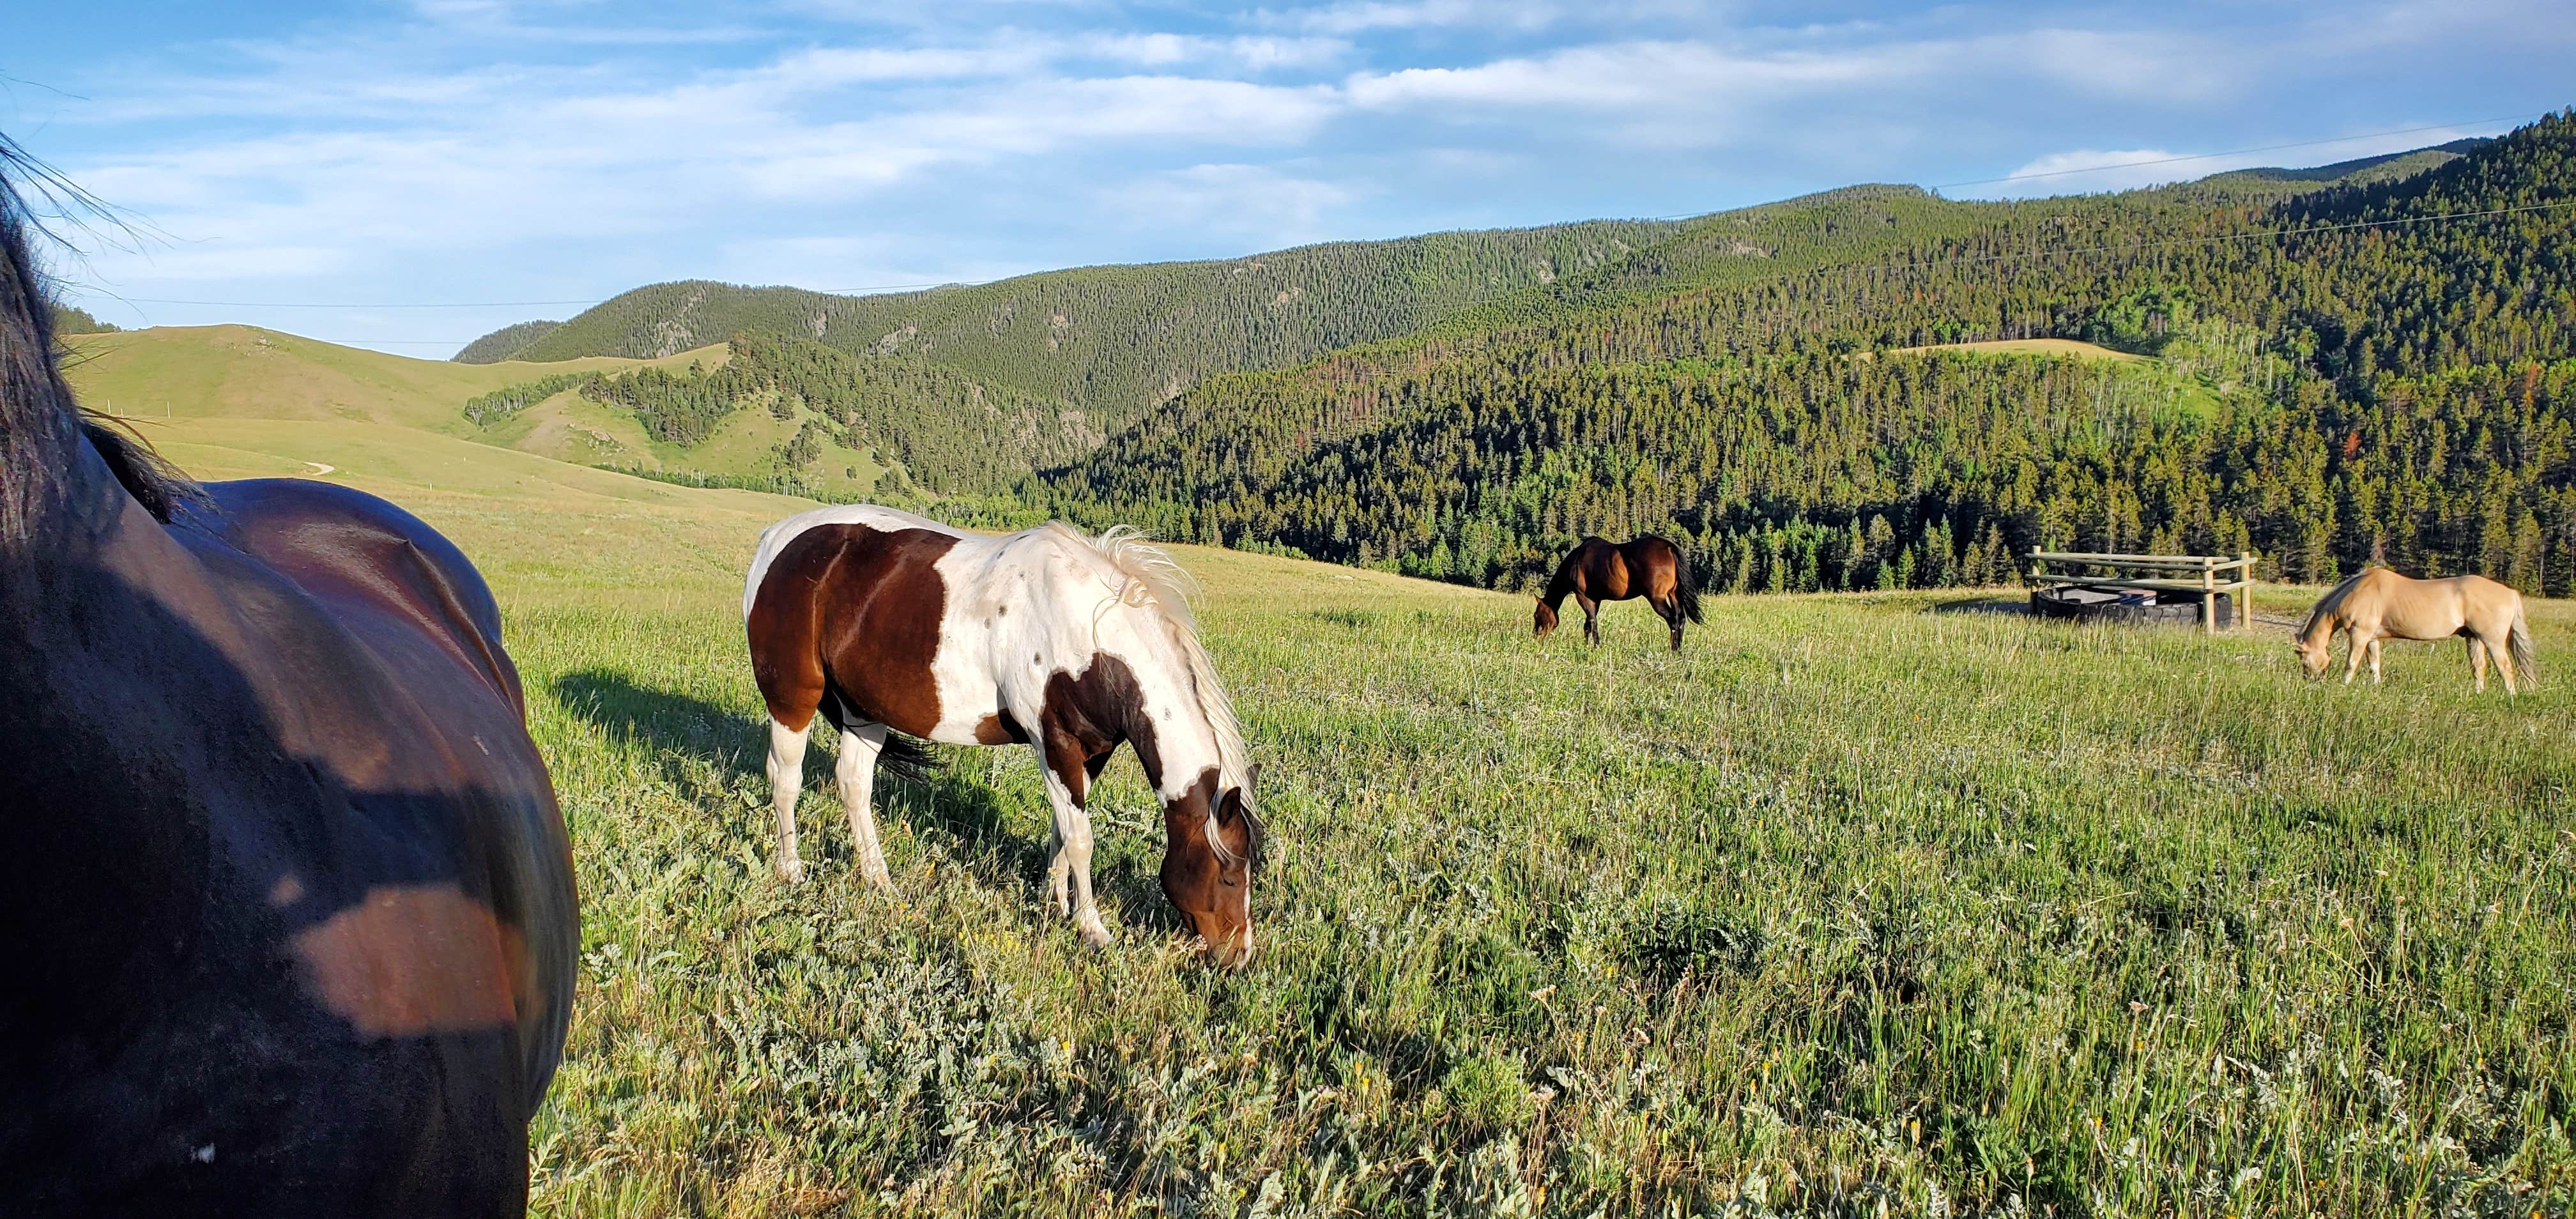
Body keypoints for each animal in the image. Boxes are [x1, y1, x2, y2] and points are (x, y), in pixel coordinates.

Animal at [742, 502, 1262, 958]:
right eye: (1230, 877)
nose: (1239, 956)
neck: (1089, 638)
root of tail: (775, 539)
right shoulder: (1055, 745)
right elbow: (1081, 839)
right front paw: (1092, 929)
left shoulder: (1090, 753)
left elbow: (1062, 831)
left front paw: (1055, 902)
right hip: (793, 700)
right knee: (786, 781)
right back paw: (792, 872)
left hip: (864, 711)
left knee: (853, 784)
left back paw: (878, 879)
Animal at [1535, 530, 1700, 647]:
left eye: (1536, 615)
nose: (1536, 636)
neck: (1576, 560)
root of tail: (1670, 548)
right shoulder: (1595, 599)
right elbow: (1588, 624)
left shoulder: (1583, 597)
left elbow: (1592, 623)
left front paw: (1596, 646)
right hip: (1674, 595)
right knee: (1681, 619)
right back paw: (1679, 650)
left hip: (1657, 599)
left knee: (1673, 621)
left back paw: (1674, 649)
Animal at [2297, 564, 2534, 691]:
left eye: (2305, 662)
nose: (2310, 683)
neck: (2358, 591)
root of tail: (2511, 593)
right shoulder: (2372, 638)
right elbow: (2374, 665)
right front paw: (2376, 687)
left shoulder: (2359, 634)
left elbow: (2351, 664)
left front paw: (2344, 686)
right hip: (2474, 638)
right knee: (2479, 668)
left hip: (2493, 641)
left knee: (2505, 668)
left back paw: (2511, 697)